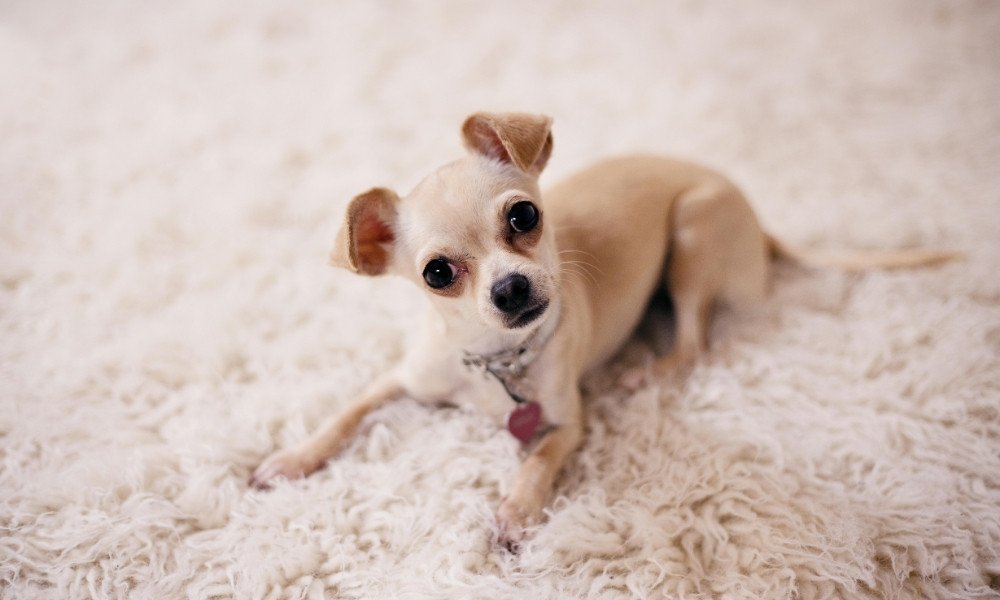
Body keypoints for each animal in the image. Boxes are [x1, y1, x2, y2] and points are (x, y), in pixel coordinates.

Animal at [248, 110, 952, 548]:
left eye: (524, 216)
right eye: (438, 273)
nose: (511, 288)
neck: (495, 361)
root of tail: (758, 227)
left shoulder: (568, 425)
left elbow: (538, 462)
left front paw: (516, 511)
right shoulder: (399, 379)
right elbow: (343, 414)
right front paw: (291, 459)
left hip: (692, 236)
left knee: (692, 342)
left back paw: (648, 370)